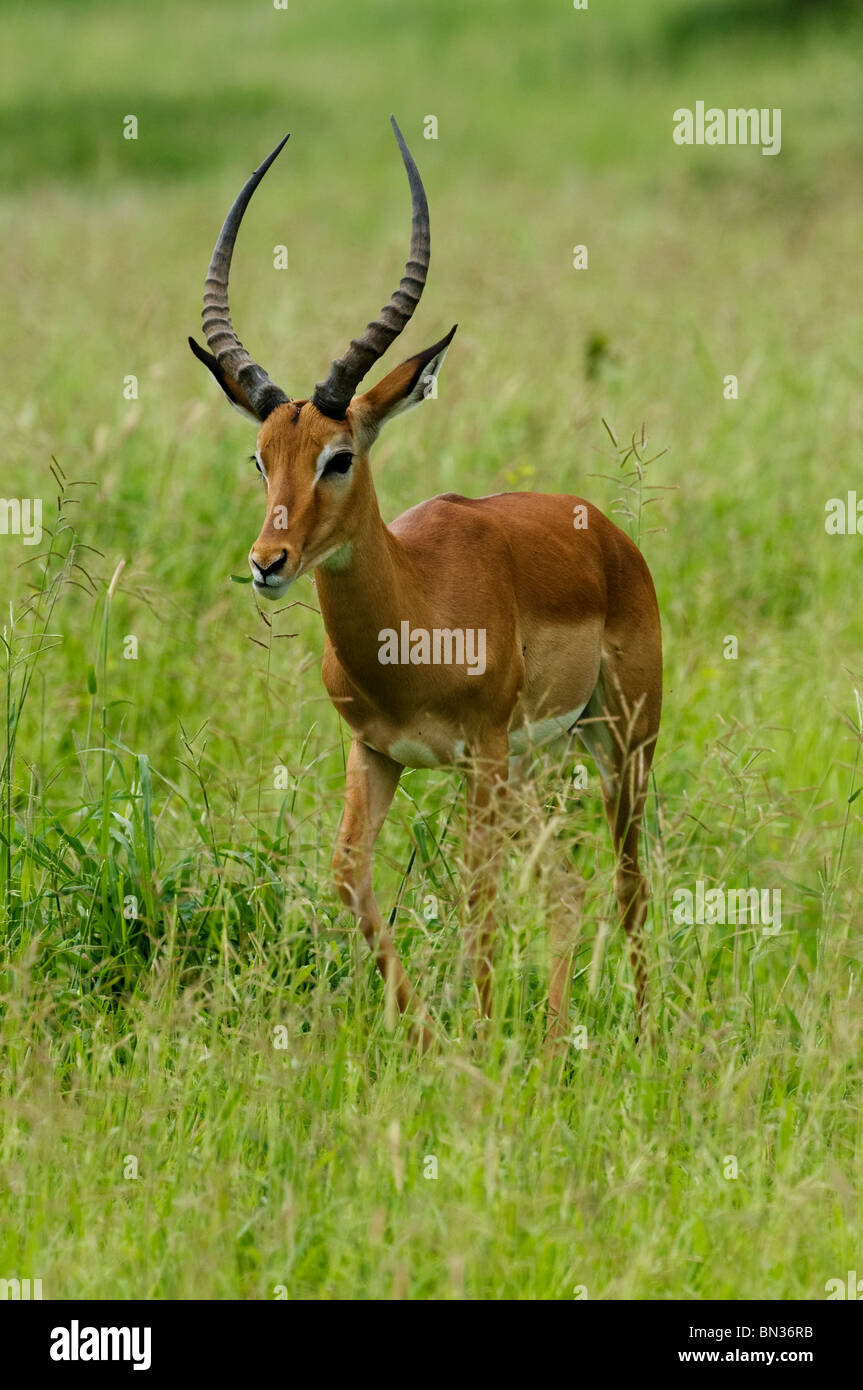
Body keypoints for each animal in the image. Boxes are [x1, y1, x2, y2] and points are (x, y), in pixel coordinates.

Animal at [189, 119, 662, 1046]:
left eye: (338, 456)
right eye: (260, 457)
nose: (268, 562)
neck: (415, 618)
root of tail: (605, 530)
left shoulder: (476, 751)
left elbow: (477, 897)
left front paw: (473, 1040)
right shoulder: (375, 751)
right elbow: (348, 875)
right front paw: (426, 1037)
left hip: (617, 743)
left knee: (627, 882)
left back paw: (643, 1028)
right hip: (533, 764)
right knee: (566, 885)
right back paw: (555, 1035)